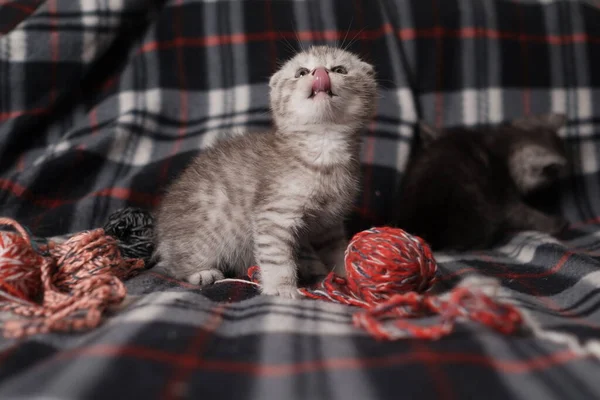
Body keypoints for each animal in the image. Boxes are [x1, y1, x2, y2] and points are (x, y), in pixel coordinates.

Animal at [154, 46, 376, 296]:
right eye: (301, 72)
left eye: (340, 70)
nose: (320, 73)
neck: (324, 148)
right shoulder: (274, 214)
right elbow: (277, 256)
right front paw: (281, 287)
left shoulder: (329, 223)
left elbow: (335, 250)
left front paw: (346, 275)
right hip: (203, 237)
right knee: (173, 265)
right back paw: (202, 273)